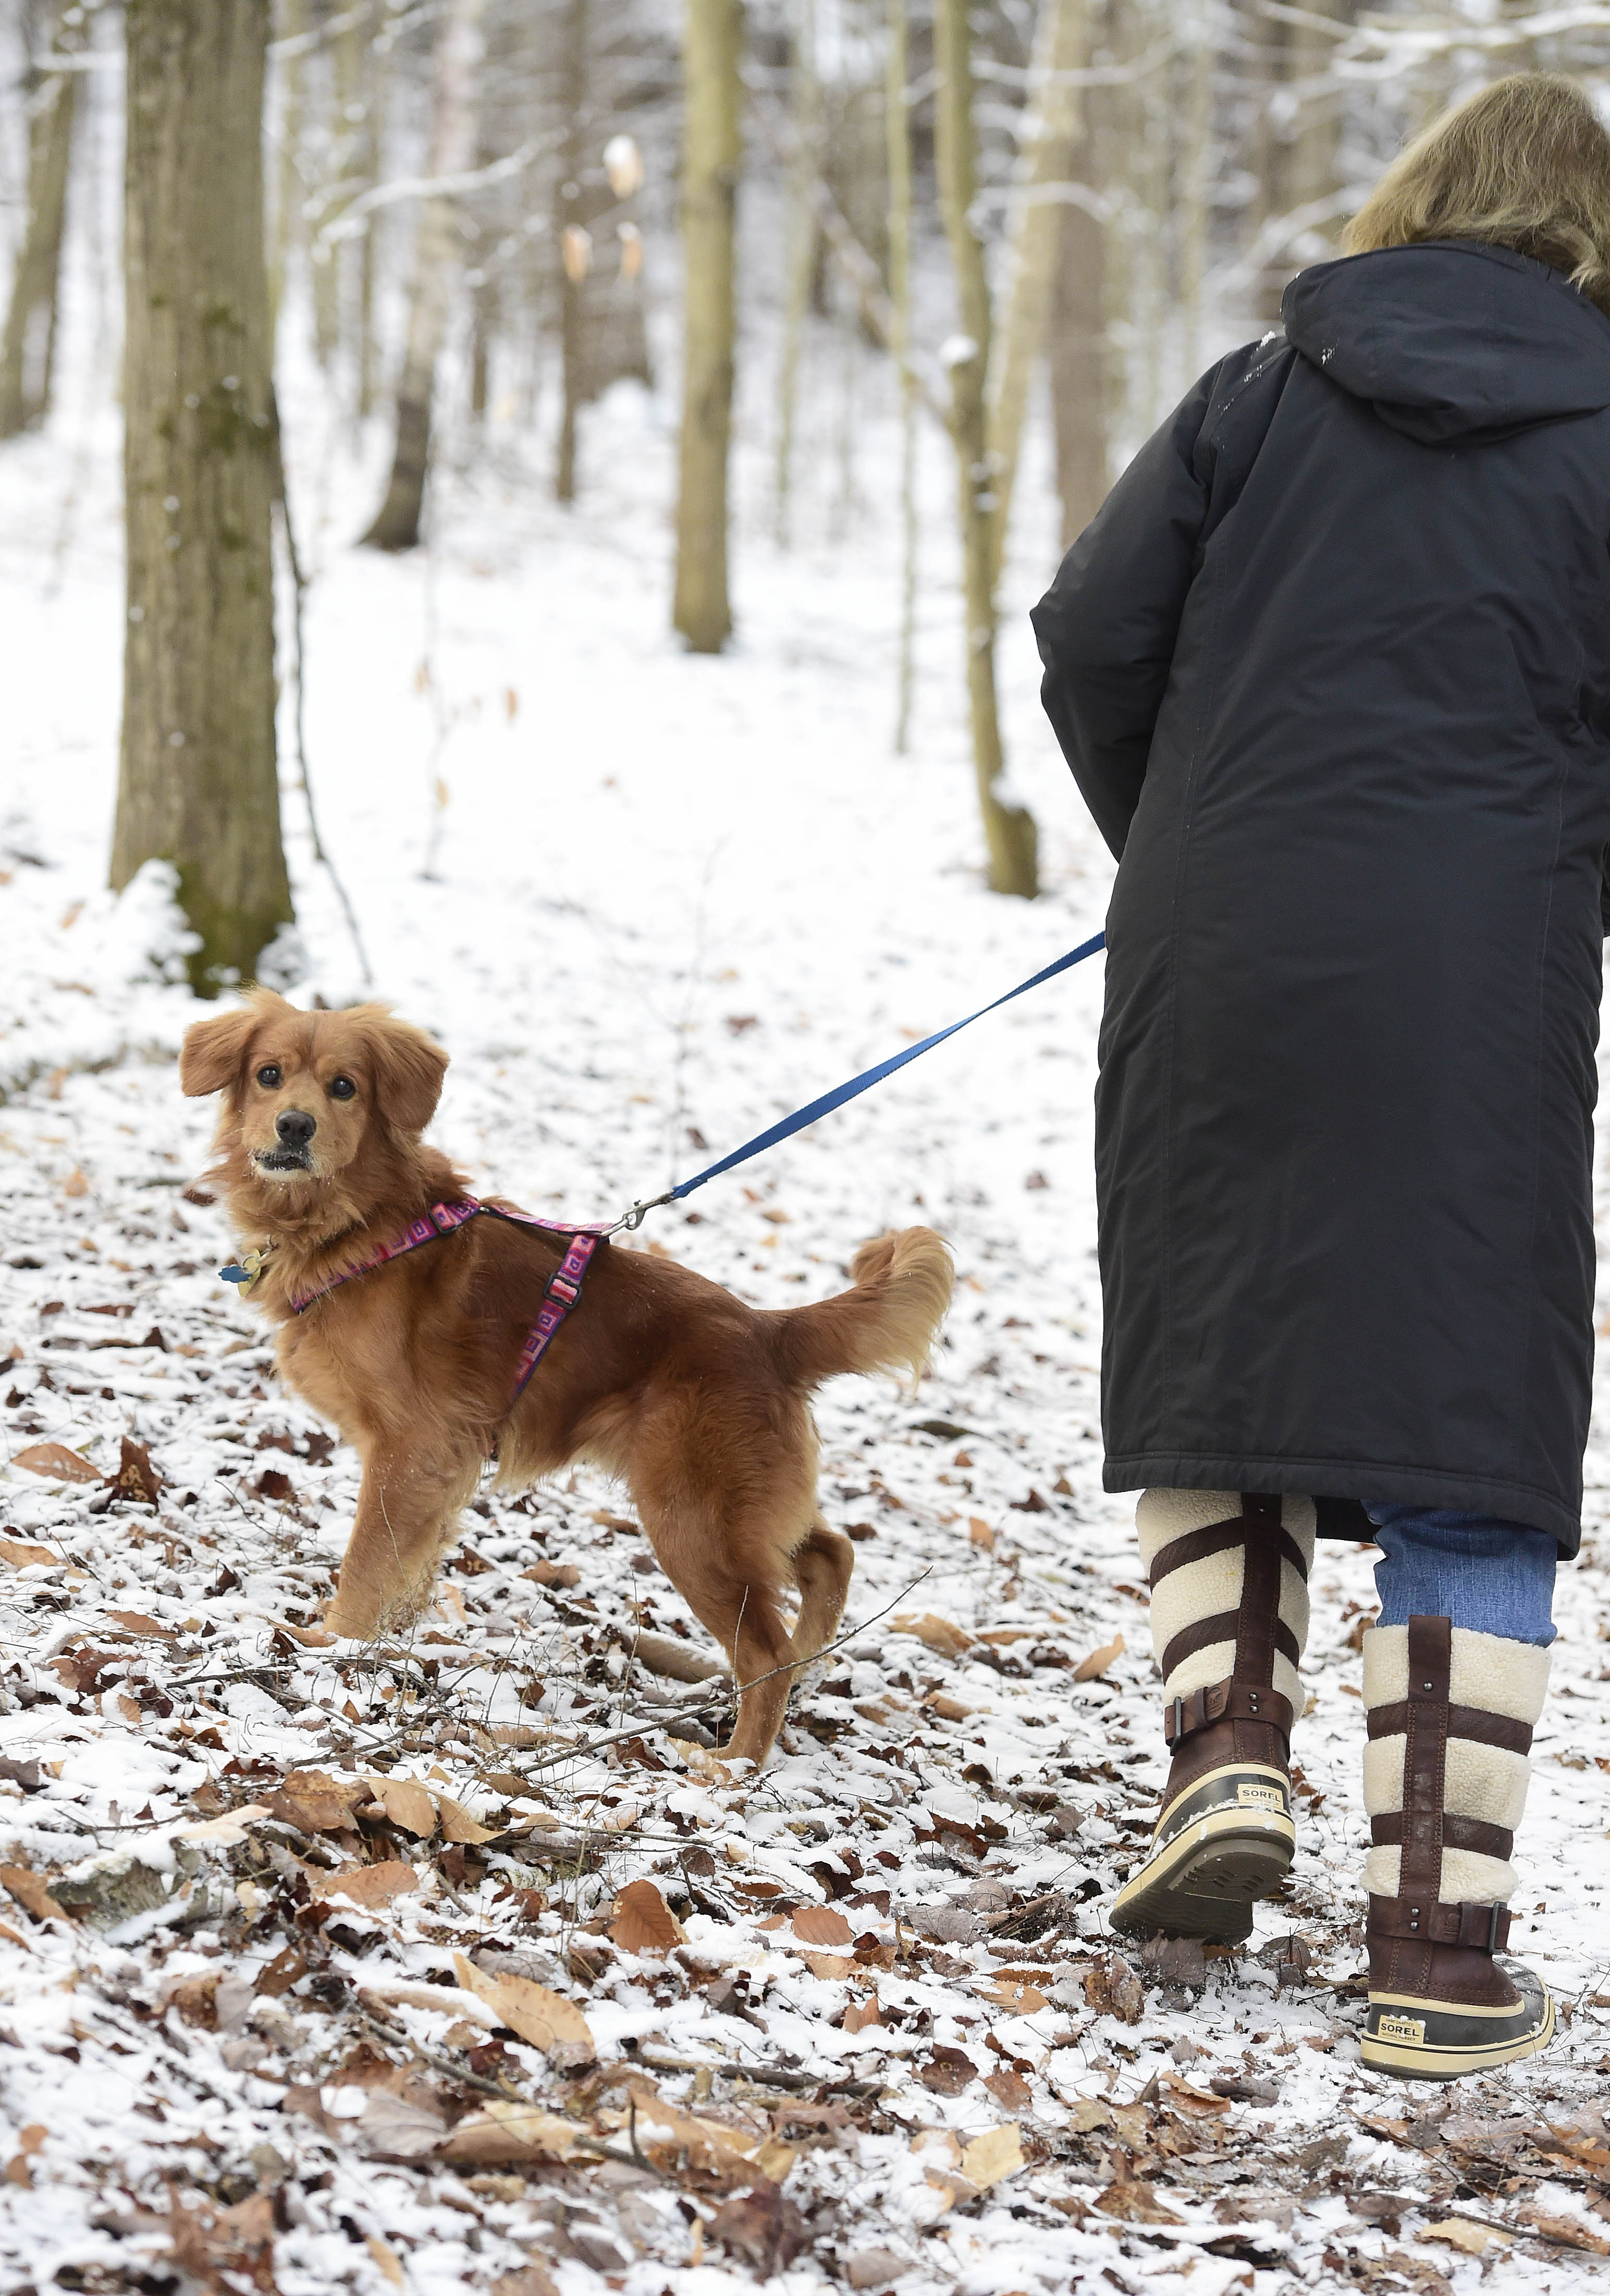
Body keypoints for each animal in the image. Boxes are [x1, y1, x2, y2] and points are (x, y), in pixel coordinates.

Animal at [179, 996, 955, 1763]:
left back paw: (732, 1767)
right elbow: (409, 1565)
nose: (295, 1125)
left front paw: (327, 1646)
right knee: (830, 1553)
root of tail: (768, 1331)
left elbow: (367, 1561)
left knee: (765, 1652)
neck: (359, 1226)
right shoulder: (438, 1467)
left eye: (344, 1087)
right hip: (745, 1507)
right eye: (269, 1074)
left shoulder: (411, 1448)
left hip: (691, 1520)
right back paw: (812, 1660)